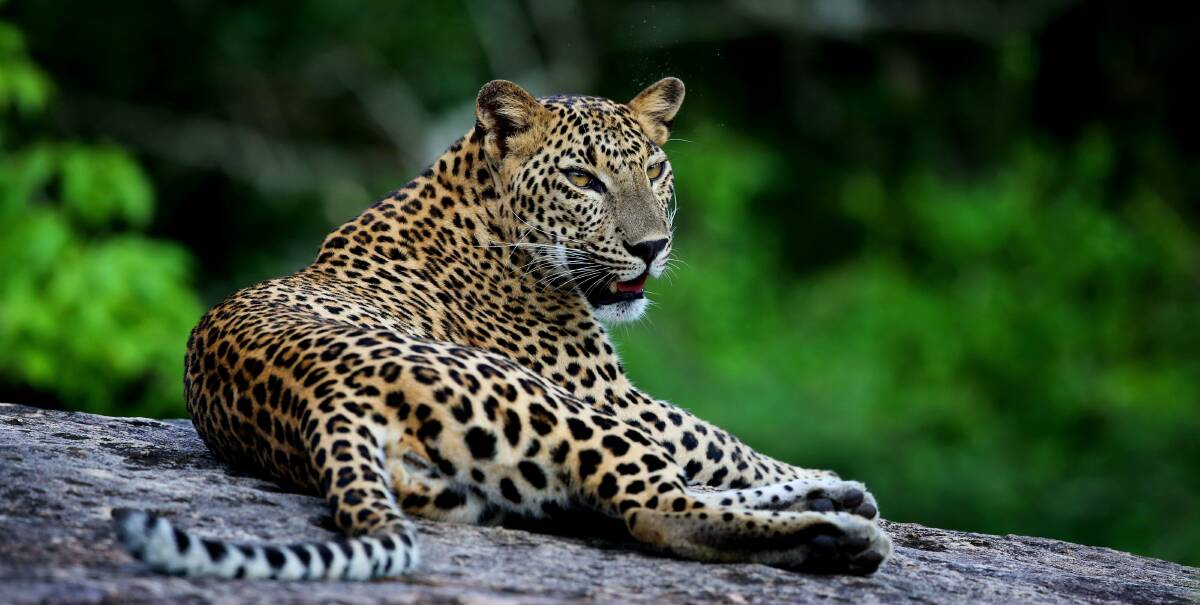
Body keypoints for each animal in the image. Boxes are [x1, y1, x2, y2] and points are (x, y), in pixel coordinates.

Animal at [112, 77, 892, 580]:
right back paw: (839, 534)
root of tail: (320, 401)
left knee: (621, 498)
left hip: (490, 486)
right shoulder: (609, 391)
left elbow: (712, 444)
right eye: (583, 179)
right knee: (653, 505)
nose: (652, 247)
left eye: (654, 169)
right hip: (556, 407)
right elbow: (717, 438)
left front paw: (826, 480)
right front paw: (819, 475)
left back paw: (836, 509)